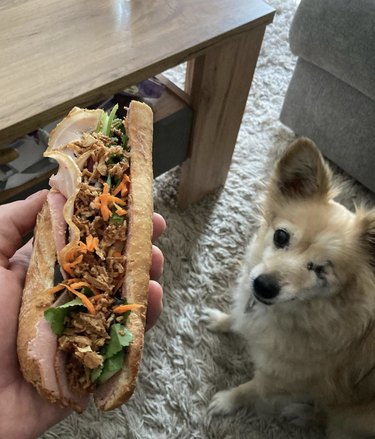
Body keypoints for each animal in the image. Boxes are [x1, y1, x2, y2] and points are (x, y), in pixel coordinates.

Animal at [204, 138, 375, 439]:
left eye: (321, 270)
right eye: (280, 236)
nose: (263, 285)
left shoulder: (281, 379)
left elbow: (250, 390)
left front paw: (225, 401)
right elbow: (236, 319)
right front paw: (222, 321)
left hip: (353, 418)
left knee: (330, 419)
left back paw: (302, 413)